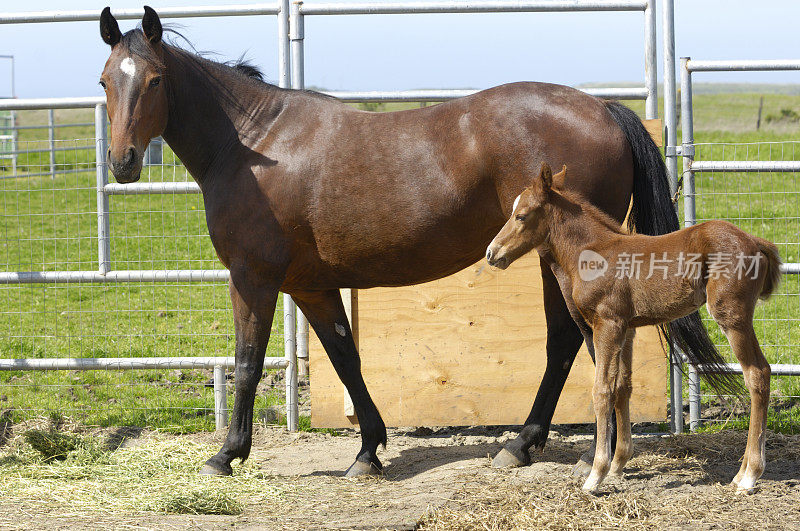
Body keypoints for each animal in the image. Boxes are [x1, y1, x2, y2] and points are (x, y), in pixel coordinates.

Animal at [97, 5, 720, 478]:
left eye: (154, 80)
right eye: (105, 81)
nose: (122, 162)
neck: (253, 146)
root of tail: (604, 109)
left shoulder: (253, 278)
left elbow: (247, 362)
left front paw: (226, 455)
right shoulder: (310, 285)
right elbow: (345, 357)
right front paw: (368, 450)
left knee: (574, 342)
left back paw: (553, 448)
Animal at [488, 163, 780, 494]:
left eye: (521, 215)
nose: (492, 253)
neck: (594, 252)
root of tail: (756, 242)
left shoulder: (607, 323)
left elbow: (602, 390)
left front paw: (596, 474)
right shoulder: (627, 328)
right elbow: (622, 388)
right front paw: (618, 465)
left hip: (731, 316)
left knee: (757, 373)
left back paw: (750, 475)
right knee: (761, 372)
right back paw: (739, 473)